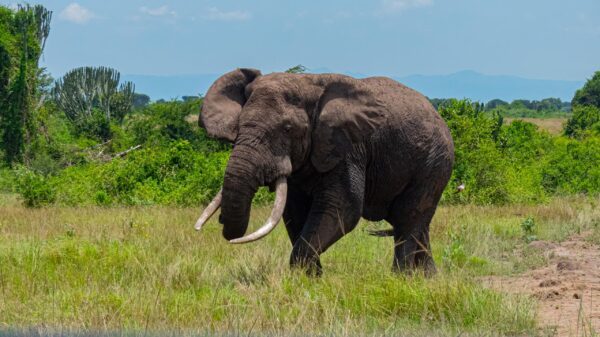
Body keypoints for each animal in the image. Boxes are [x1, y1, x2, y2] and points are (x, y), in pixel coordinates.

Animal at [195, 68, 452, 276]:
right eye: (238, 125)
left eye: (287, 128)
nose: (222, 221)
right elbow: (295, 213)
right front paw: (311, 279)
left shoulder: (347, 148)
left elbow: (341, 209)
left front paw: (302, 278)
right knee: (414, 222)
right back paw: (428, 278)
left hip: (434, 162)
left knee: (408, 217)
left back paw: (402, 278)